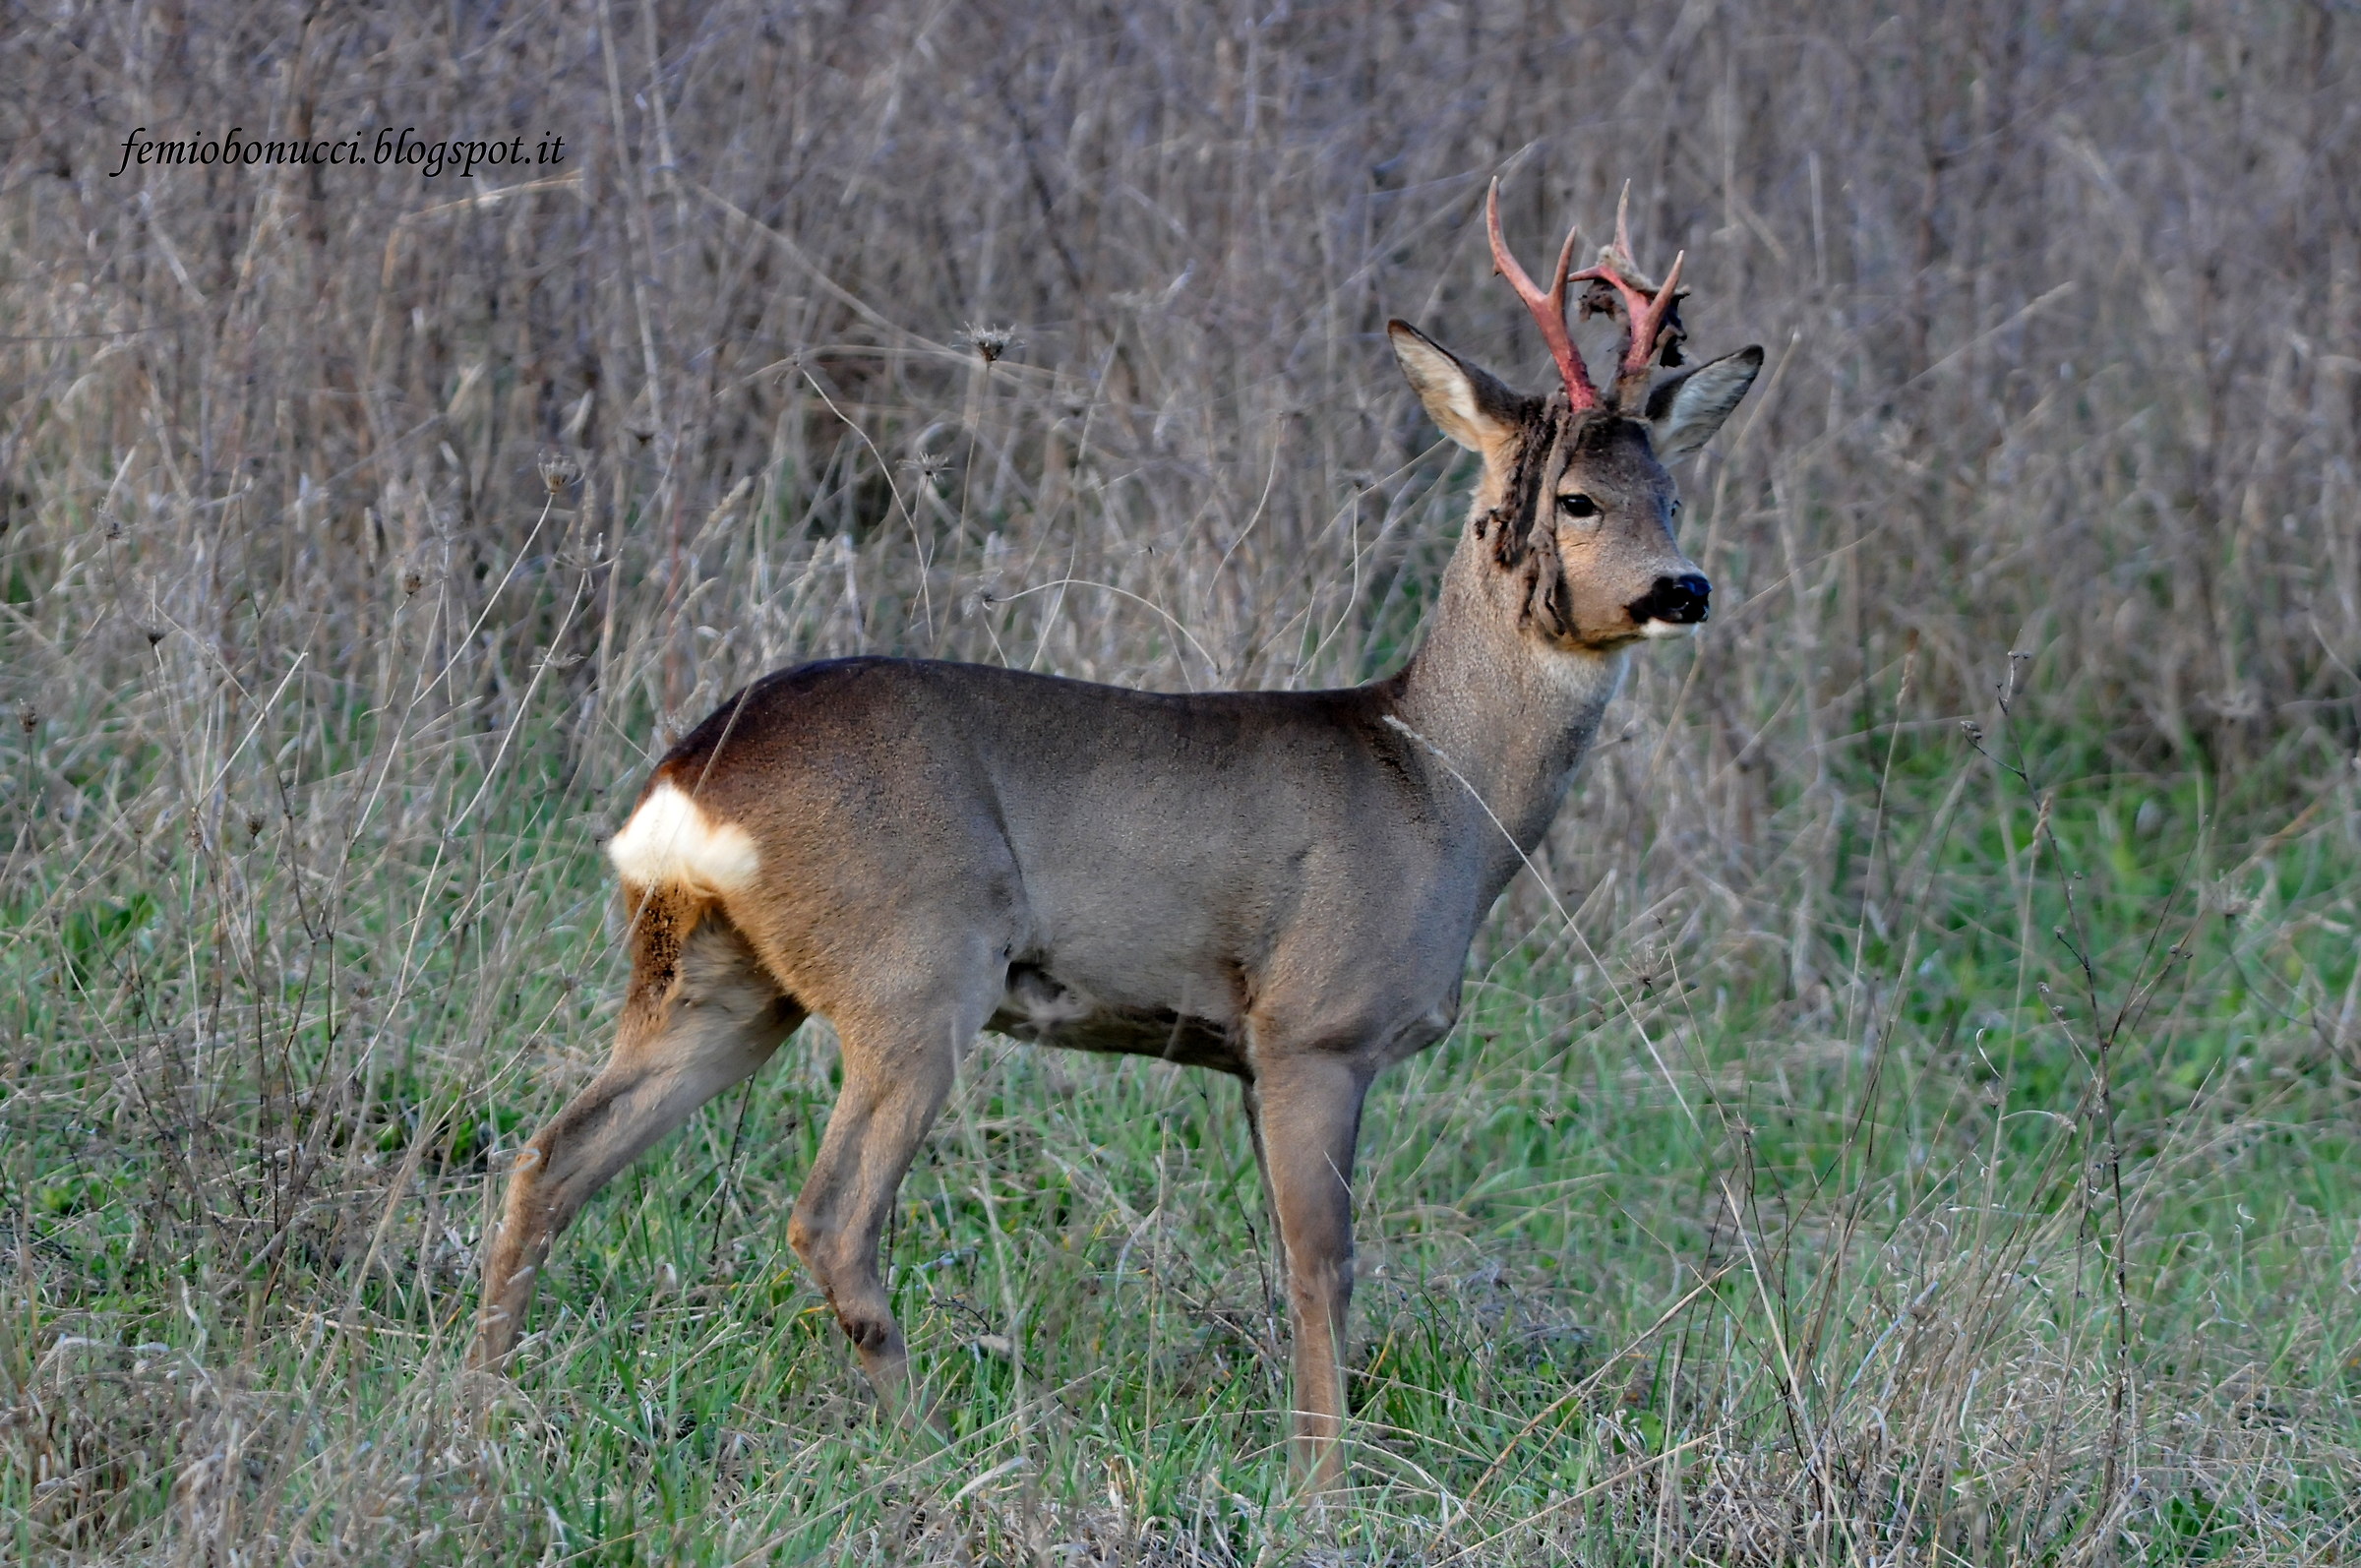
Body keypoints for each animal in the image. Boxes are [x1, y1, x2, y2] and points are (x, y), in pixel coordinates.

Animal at [470, 180, 1761, 1490]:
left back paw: (485, 1403)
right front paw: (1323, 1483)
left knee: (552, 1157)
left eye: (1674, 496)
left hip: (718, 978)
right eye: (1574, 499)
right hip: (912, 968)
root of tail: (692, 770)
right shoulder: (1315, 1026)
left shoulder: (1251, 1055)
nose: (1684, 587)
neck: (1435, 791)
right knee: (830, 1218)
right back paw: (935, 1449)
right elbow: (1324, 1269)